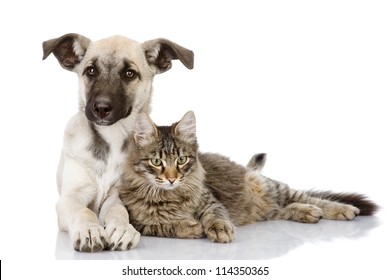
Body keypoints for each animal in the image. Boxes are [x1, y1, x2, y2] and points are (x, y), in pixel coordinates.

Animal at [42, 32, 193, 252]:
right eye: (91, 70)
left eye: (129, 73)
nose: (101, 108)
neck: (111, 137)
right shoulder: (69, 198)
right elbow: (84, 212)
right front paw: (89, 230)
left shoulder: (116, 196)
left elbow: (118, 211)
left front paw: (122, 228)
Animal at [119, 111, 378, 243]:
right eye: (157, 162)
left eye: (182, 160)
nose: (172, 178)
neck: (170, 195)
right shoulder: (140, 223)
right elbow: (166, 225)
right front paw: (191, 227)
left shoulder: (211, 201)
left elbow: (215, 215)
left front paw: (219, 229)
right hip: (268, 208)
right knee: (286, 209)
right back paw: (308, 213)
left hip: (272, 188)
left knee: (310, 197)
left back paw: (342, 209)